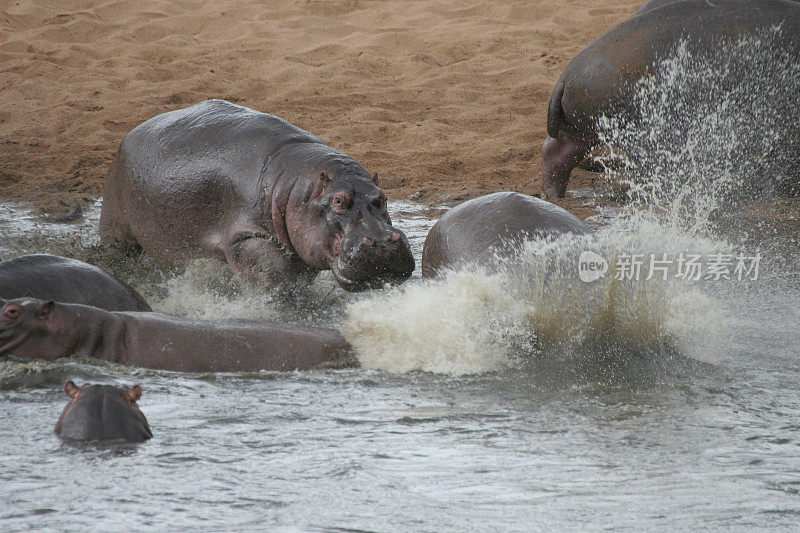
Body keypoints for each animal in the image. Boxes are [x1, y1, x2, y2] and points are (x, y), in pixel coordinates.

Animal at [100, 100, 416, 290]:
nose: (382, 242)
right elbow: (274, 278)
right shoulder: (246, 238)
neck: (295, 187)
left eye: (382, 197)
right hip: (116, 226)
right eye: (339, 201)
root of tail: (132, 132)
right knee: (119, 253)